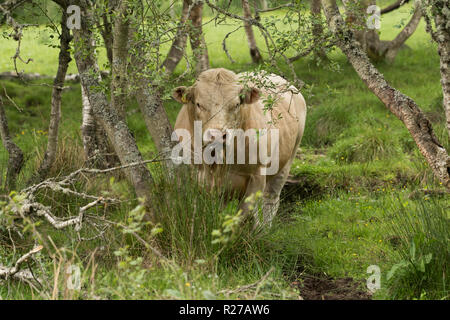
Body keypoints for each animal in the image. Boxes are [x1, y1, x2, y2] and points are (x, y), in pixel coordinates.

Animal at [172, 69, 306, 226]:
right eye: (199, 104)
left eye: (236, 104)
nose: (217, 135)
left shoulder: (257, 176)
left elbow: (243, 215)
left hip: (287, 161)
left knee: (270, 200)